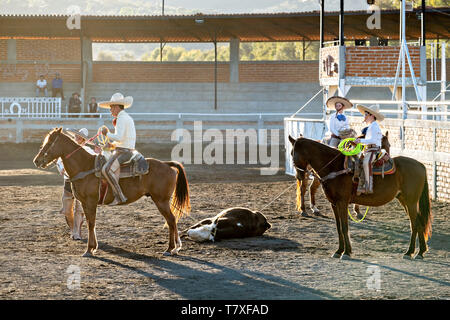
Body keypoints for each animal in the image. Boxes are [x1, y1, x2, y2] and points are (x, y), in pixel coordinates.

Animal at [33, 127, 191, 258]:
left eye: (49, 143)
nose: (37, 160)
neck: (85, 166)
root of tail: (166, 164)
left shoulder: (90, 202)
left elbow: (91, 223)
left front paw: (89, 250)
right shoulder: (84, 203)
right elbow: (90, 222)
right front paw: (93, 248)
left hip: (161, 201)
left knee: (171, 220)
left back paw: (171, 249)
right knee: (171, 221)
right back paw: (174, 248)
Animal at [288, 135, 432, 260]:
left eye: (294, 153)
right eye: (290, 153)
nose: (299, 176)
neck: (335, 167)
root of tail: (421, 165)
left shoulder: (342, 203)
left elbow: (344, 227)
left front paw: (346, 253)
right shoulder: (334, 204)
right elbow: (338, 227)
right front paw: (339, 251)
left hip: (411, 201)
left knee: (414, 224)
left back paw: (409, 252)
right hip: (404, 200)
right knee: (419, 222)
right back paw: (420, 252)